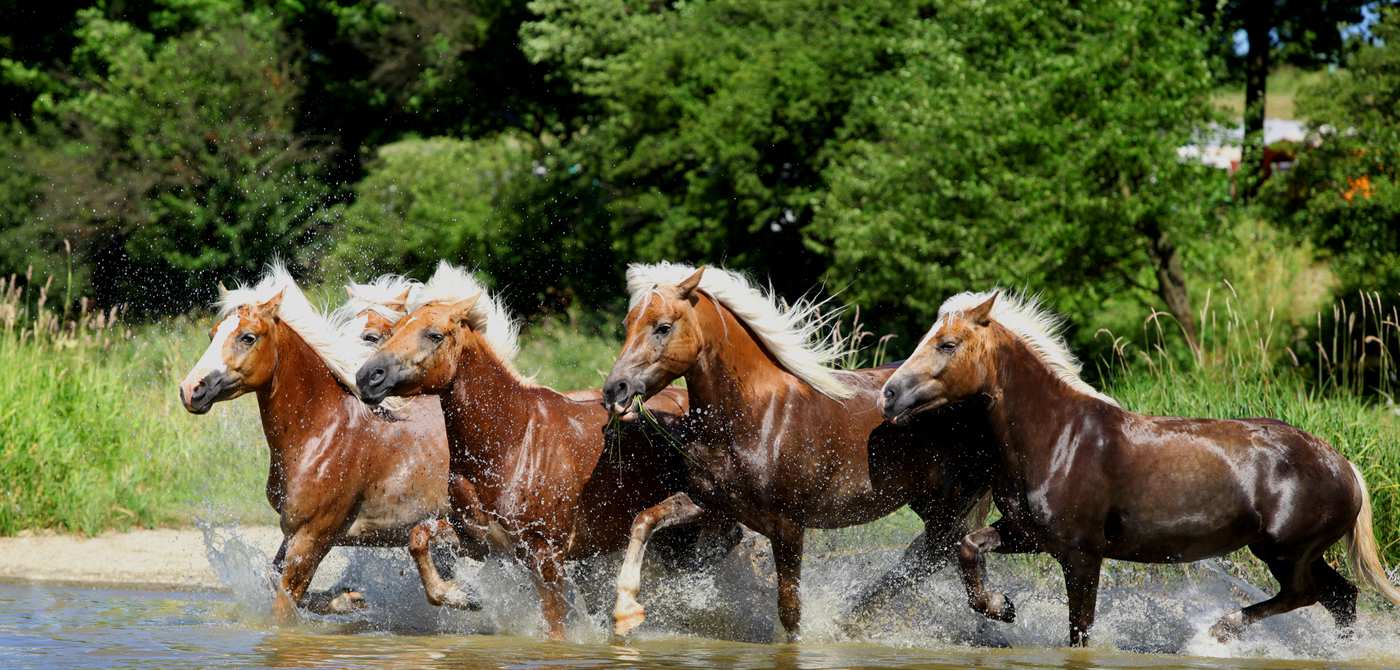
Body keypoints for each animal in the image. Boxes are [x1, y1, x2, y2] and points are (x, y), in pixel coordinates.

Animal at [177, 264, 476, 621]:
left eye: (247, 337)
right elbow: (276, 581)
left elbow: (284, 606)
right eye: (213, 334)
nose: (191, 389)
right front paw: (349, 598)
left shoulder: (312, 535)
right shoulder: (293, 531)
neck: (321, 433)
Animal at [352, 261, 711, 640]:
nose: (368, 377)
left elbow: (556, 630)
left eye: (434, 335)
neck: (513, 443)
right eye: (391, 332)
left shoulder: (546, 557)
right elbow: (419, 537)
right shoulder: (479, 541)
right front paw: (461, 596)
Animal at [602, 264, 996, 643]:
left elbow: (789, 610)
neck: (756, 419)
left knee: (937, 552)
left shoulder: (788, 525)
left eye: (663, 327)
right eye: (627, 324)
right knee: (932, 553)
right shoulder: (711, 503)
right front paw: (625, 611)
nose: (614, 389)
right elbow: (645, 520)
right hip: (931, 503)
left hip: (949, 504)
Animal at [879, 290, 1400, 649]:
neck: (1059, 436)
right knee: (1341, 597)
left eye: (947, 344)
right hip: (1295, 552)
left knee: (1304, 595)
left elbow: (1080, 629)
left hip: (1285, 551)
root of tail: (1343, 465)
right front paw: (1000, 608)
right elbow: (969, 547)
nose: (889, 394)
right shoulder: (1028, 533)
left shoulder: (1082, 554)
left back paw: (1220, 630)